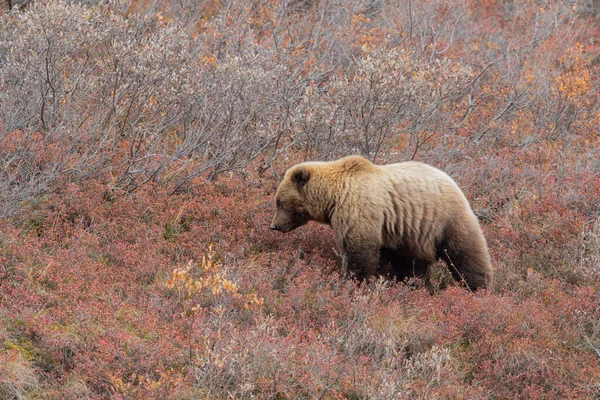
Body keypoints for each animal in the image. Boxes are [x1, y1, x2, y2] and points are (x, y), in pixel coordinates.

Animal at [270, 154, 494, 290]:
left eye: (281, 202)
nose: (274, 226)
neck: (333, 197)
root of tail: (453, 181)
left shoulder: (359, 211)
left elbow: (359, 253)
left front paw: (354, 282)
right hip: (412, 235)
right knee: (412, 265)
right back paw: (414, 286)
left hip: (445, 218)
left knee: (466, 255)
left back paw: (479, 289)